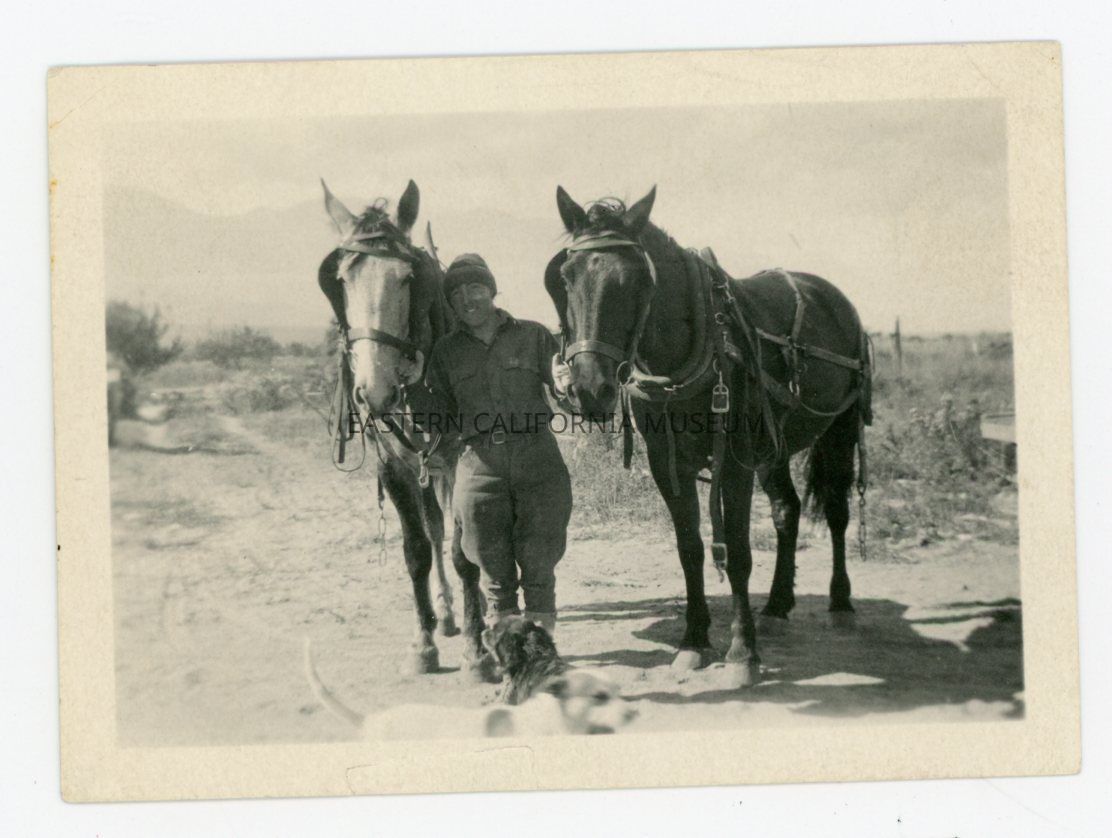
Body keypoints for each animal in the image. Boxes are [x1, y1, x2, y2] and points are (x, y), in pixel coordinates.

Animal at [317, 180, 488, 678]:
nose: (375, 392)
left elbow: (464, 551)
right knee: (433, 528)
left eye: (409, 279)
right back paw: (446, 613)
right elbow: (416, 550)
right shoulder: (392, 467)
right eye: (340, 280)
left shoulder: (461, 459)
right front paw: (424, 642)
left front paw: (476, 649)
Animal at [545, 186, 872, 687]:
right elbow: (690, 549)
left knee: (836, 510)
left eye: (637, 280)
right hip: (773, 446)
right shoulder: (667, 463)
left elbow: (736, 552)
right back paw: (777, 606)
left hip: (838, 427)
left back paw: (840, 603)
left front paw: (742, 653)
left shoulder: (734, 459)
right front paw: (694, 641)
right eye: (565, 277)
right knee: (786, 509)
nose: (589, 387)